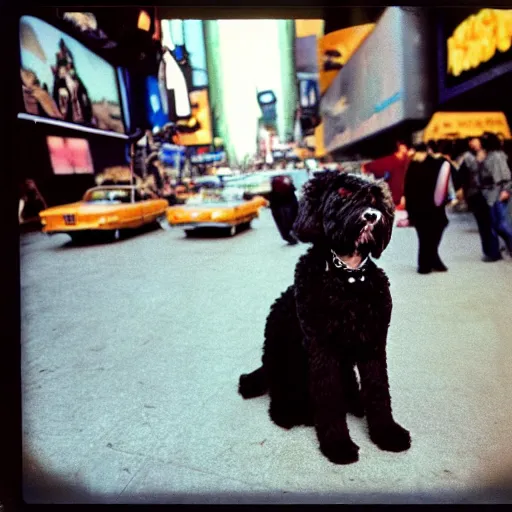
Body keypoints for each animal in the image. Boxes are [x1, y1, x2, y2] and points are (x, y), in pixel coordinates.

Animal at [238, 171, 410, 464]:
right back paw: (291, 414)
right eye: (342, 193)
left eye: (375, 197)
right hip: (285, 360)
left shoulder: (373, 344)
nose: (372, 215)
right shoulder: (322, 348)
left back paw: (356, 403)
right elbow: (329, 397)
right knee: (280, 395)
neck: (348, 278)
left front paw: (386, 433)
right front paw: (337, 444)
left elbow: (378, 390)